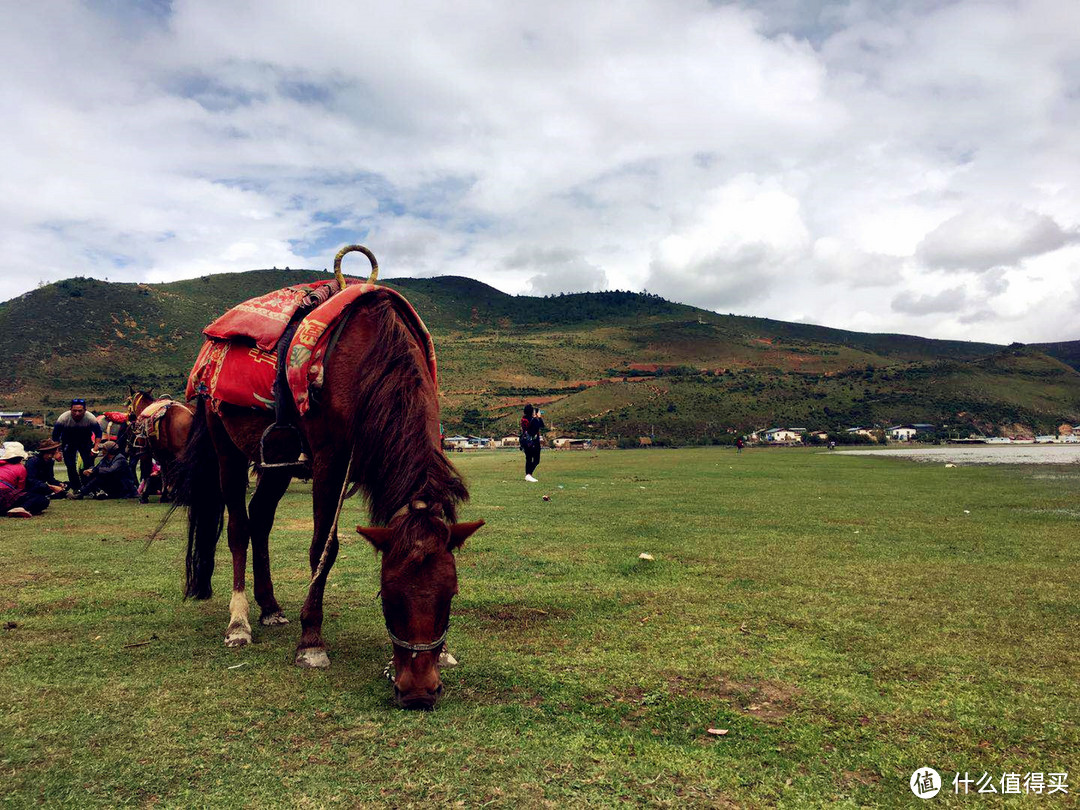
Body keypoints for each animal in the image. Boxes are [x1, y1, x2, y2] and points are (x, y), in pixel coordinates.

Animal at [173, 260, 486, 708]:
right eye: (387, 595)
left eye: (451, 594)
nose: (418, 693)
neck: (369, 363)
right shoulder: (329, 463)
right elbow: (324, 547)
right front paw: (311, 642)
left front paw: (443, 653)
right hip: (226, 449)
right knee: (237, 528)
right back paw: (240, 623)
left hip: (277, 463)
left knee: (260, 520)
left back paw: (270, 607)